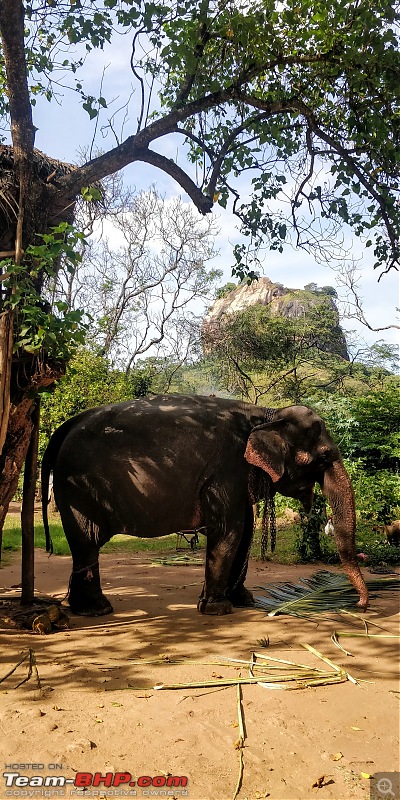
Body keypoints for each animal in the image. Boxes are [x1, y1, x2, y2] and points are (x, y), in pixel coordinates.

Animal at [40, 396, 368, 616]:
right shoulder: (227, 469)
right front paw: (218, 608)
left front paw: (243, 601)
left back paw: (84, 608)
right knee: (87, 541)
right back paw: (98, 610)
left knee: (84, 546)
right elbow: (229, 530)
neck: (267, 414)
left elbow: (245, 532)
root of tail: (66, 426)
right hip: (78, 487)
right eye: (324, 458)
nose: (360, 604)